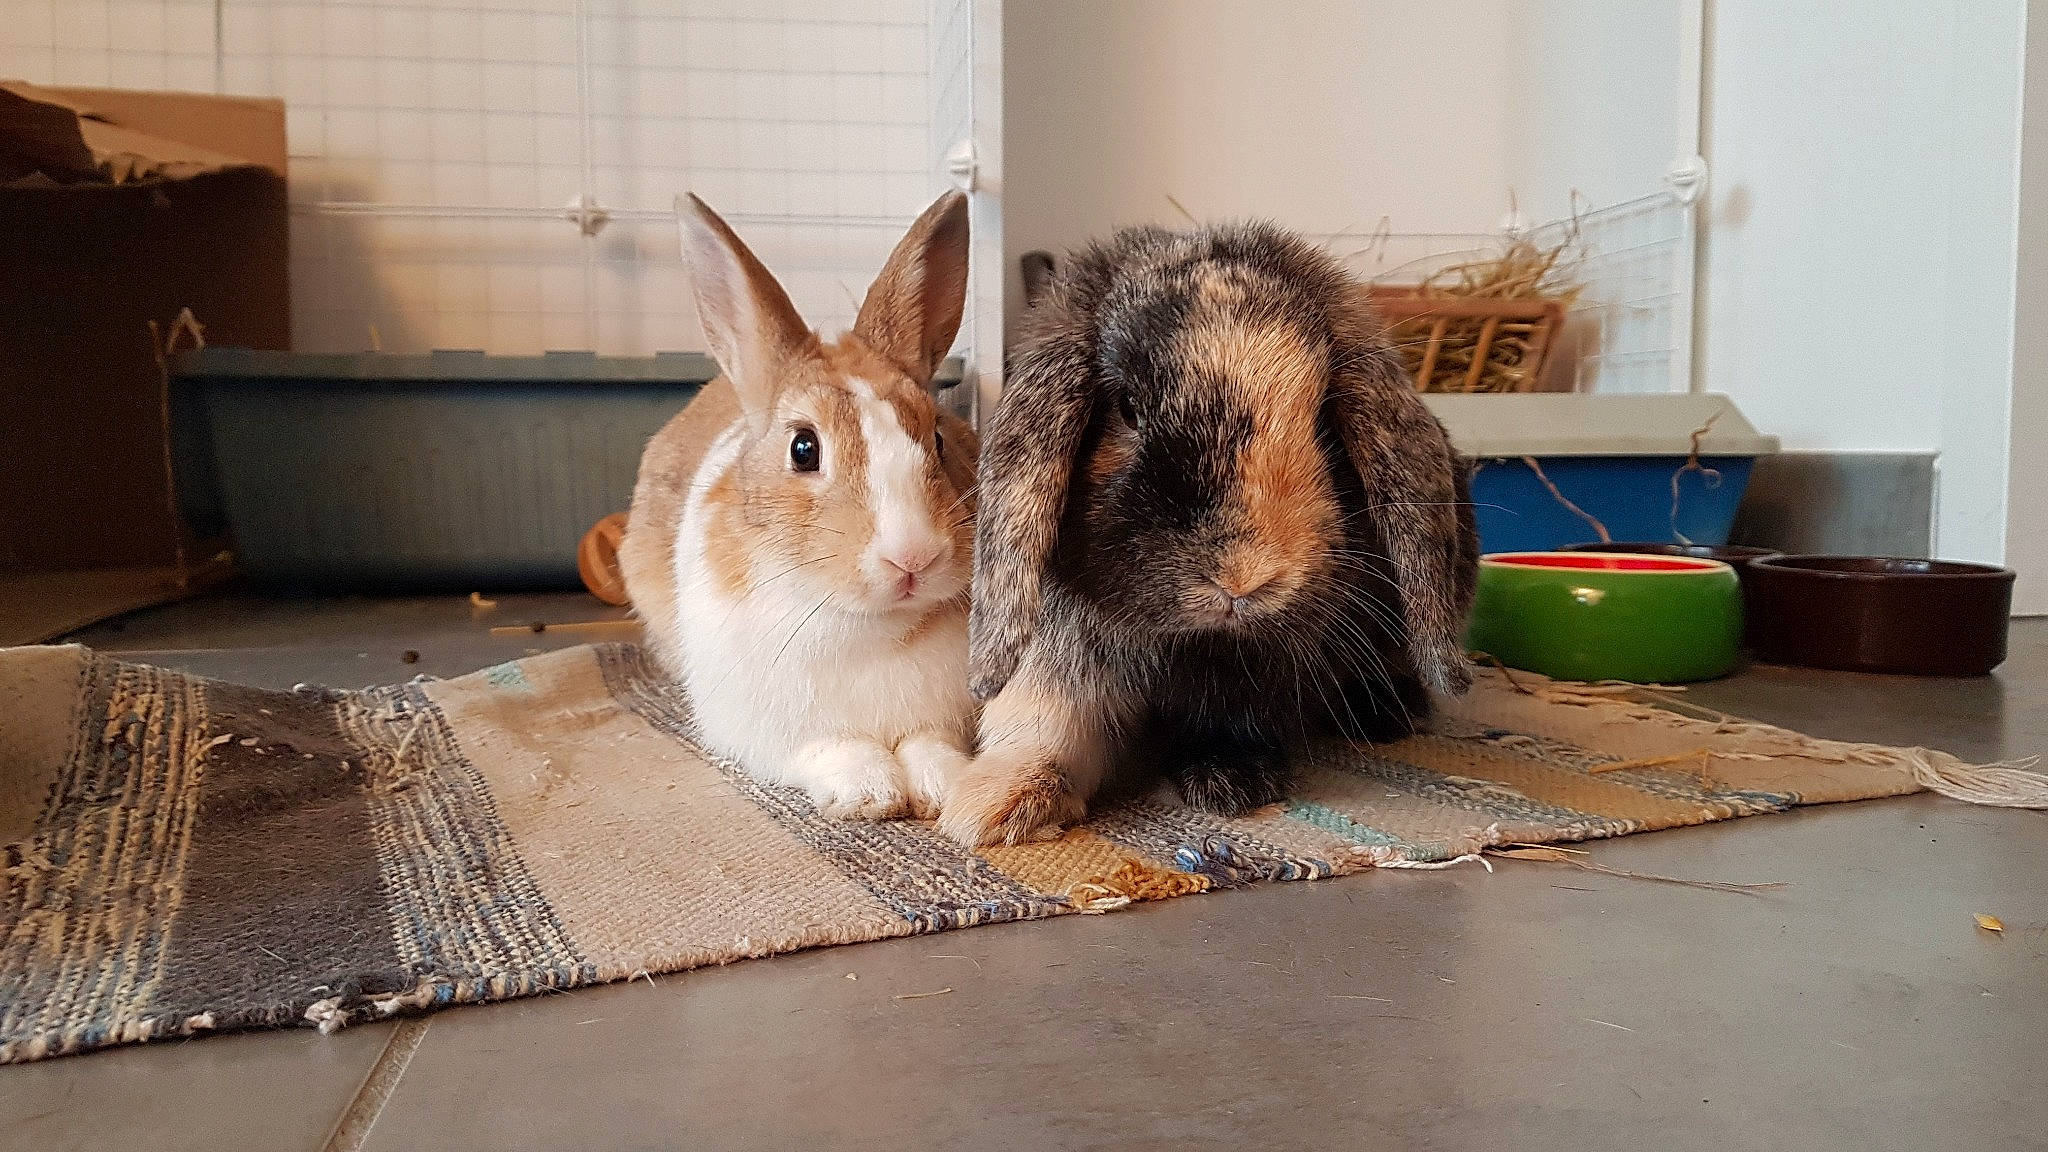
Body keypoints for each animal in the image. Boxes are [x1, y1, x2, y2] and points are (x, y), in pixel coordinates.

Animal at [619, 190, 981, 820]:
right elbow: (828, 749)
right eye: (804, 448)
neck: (869, 627)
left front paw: (939, 786)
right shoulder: (768, 733)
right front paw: (869, 792)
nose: (914, 557)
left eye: (939, 437)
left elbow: (928, 742)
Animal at [937, 222, 1478, 847]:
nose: (1242, 578)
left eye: (1323, 420)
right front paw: (994, 809)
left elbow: (1231, 721)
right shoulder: (1064, 644)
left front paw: (1232, 784)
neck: (1199, 643)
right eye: (1127, 408)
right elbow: (1048, 721)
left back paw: (1390, 715)